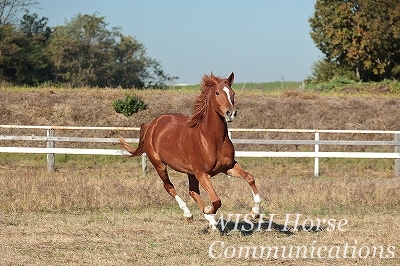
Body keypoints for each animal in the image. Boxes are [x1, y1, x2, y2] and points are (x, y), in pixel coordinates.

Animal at [119, 72, 262, 229]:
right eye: (217, 93)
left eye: (233, 93)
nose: (231, 113)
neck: (211, 139)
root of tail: (152, 124)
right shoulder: (202, 173)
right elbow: (216, 200)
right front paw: (208, 211)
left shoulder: (228, 167)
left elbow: (250, 178)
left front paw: (255, 213)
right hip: (160, 165)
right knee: (169, 187)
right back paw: (189, 215)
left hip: (190, 172)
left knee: (192, 191)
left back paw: (210, 221)